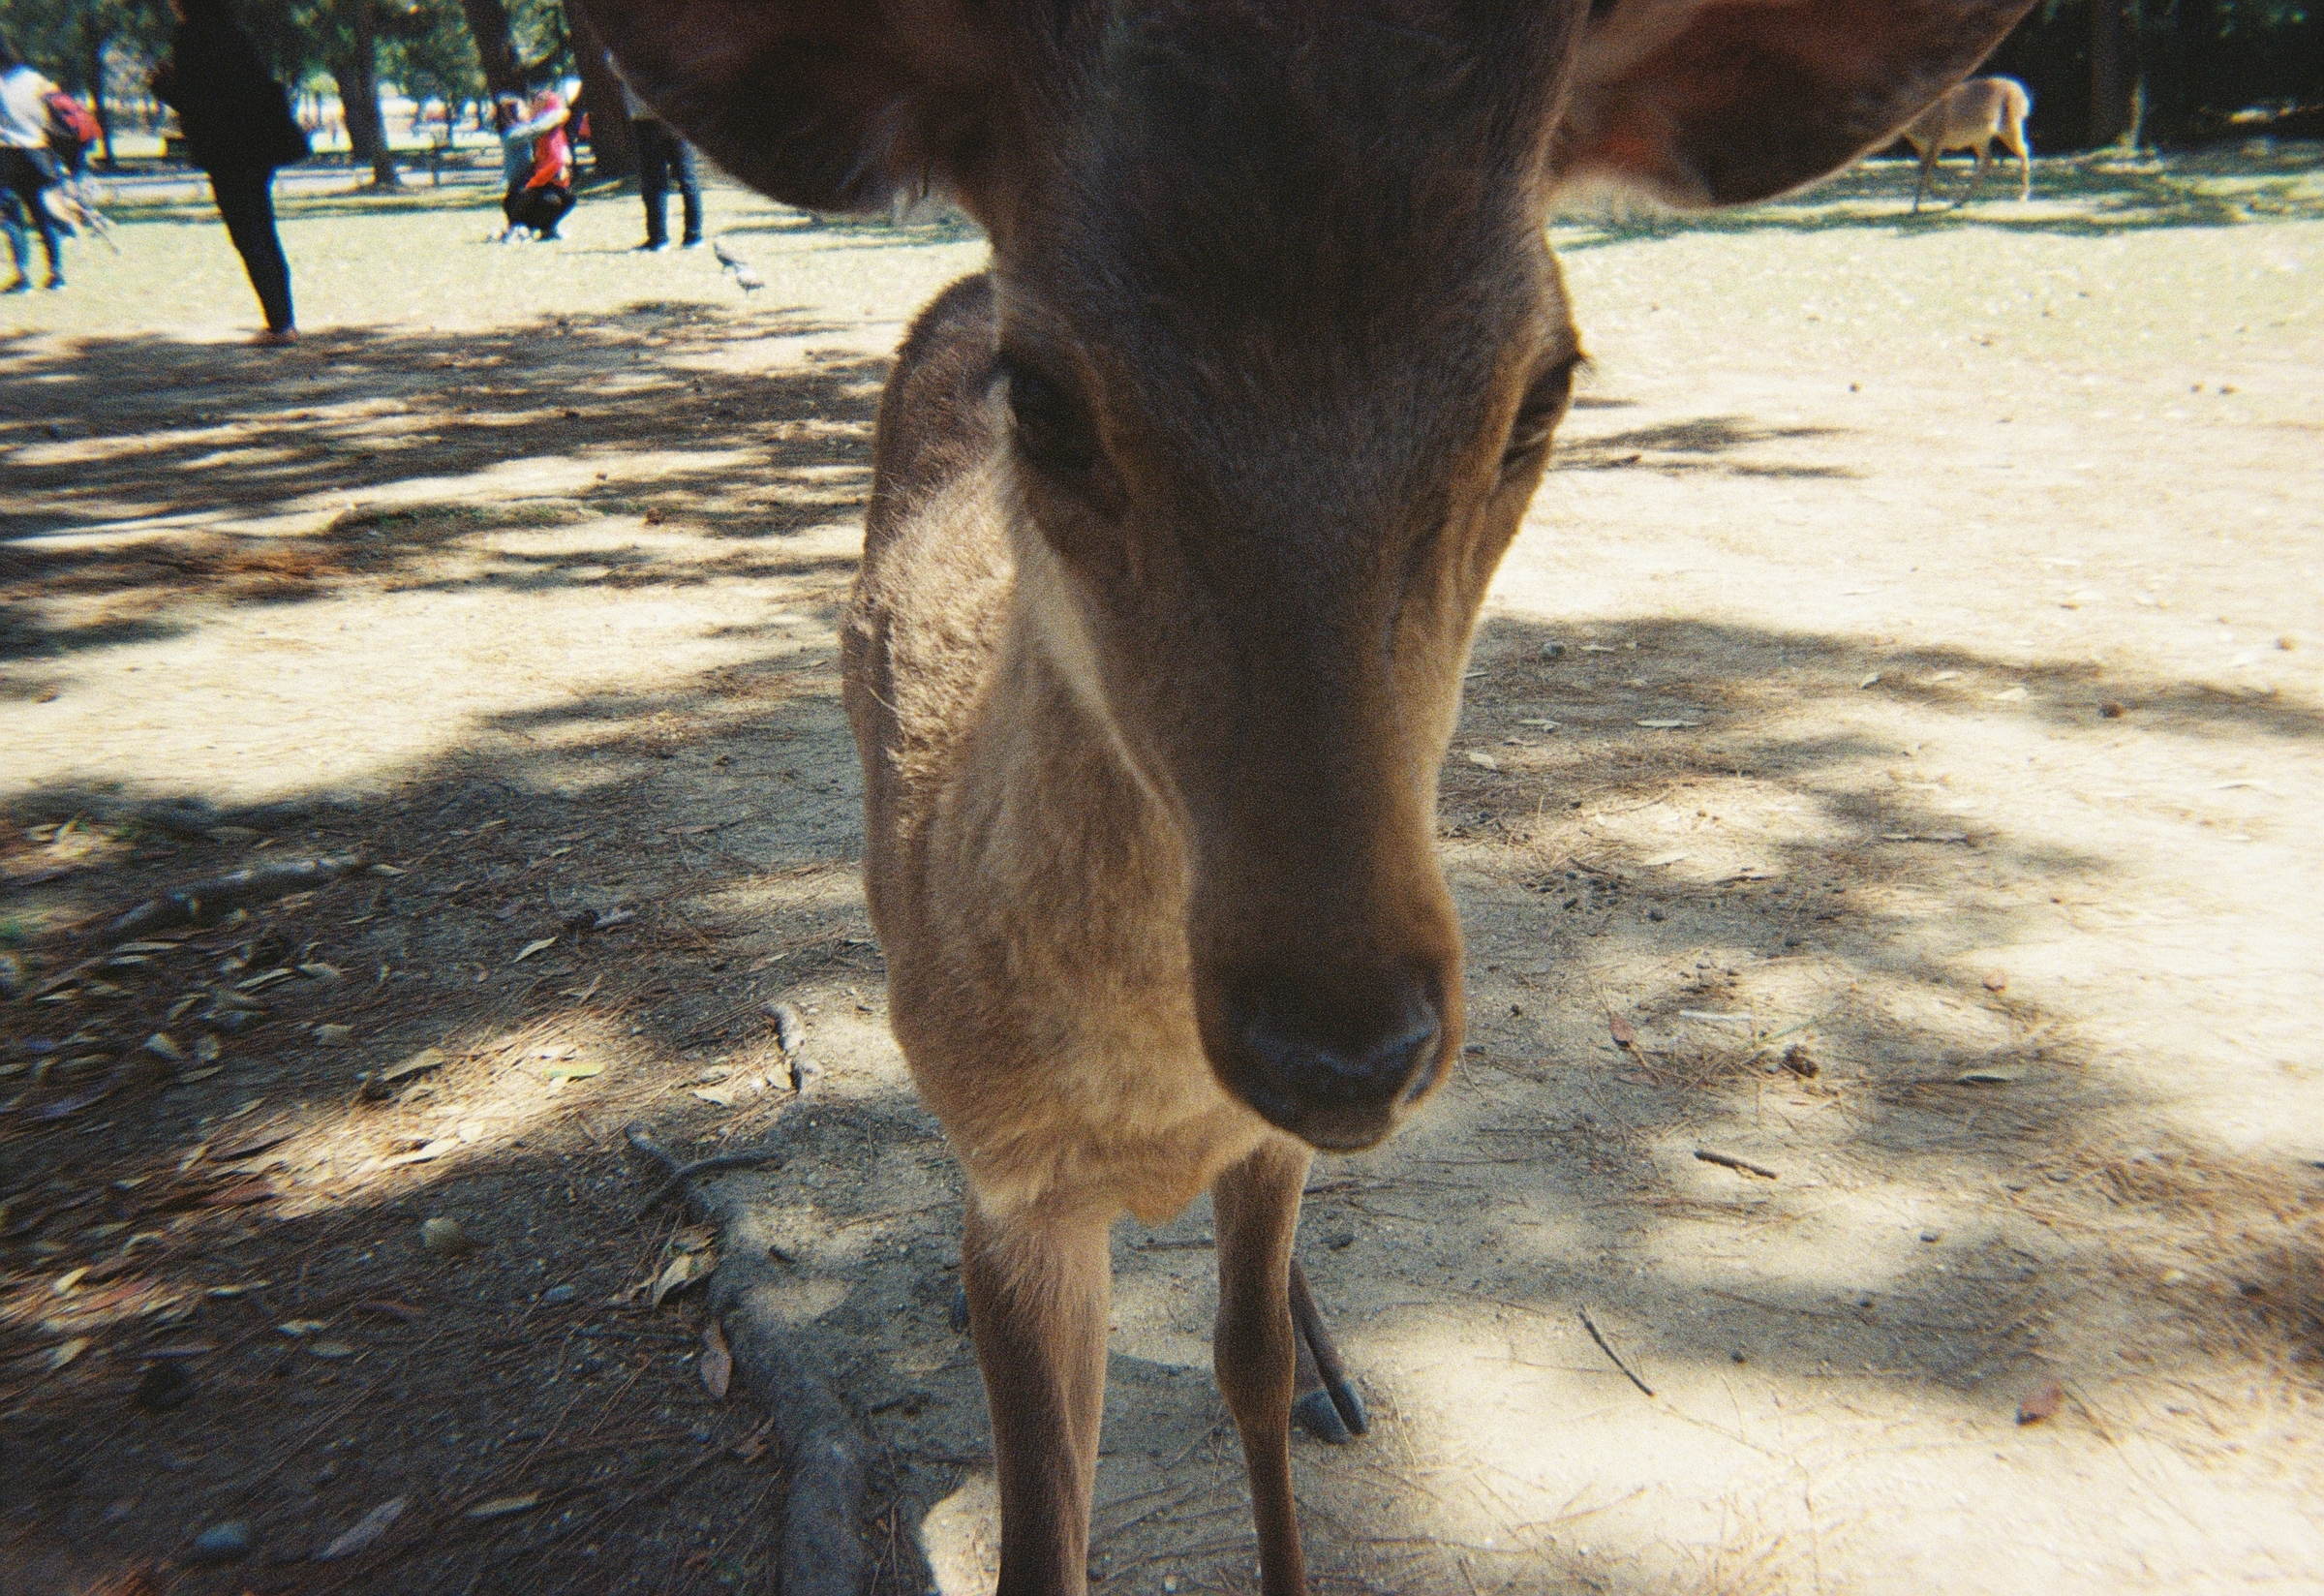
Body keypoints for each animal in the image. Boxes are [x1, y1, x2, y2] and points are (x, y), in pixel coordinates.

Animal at [1903, 74, 2035, 213]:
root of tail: (2024, 97)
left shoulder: (1938, 139)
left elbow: (1924, 170)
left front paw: (1916, 206)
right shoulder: (1921, 146)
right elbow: (1924, 170)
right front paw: (1936, 196)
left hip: (2010, 126)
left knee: (2024, 150)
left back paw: (2023, 195)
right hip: (1979, 138)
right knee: (1989, 160)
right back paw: (1960, 201)